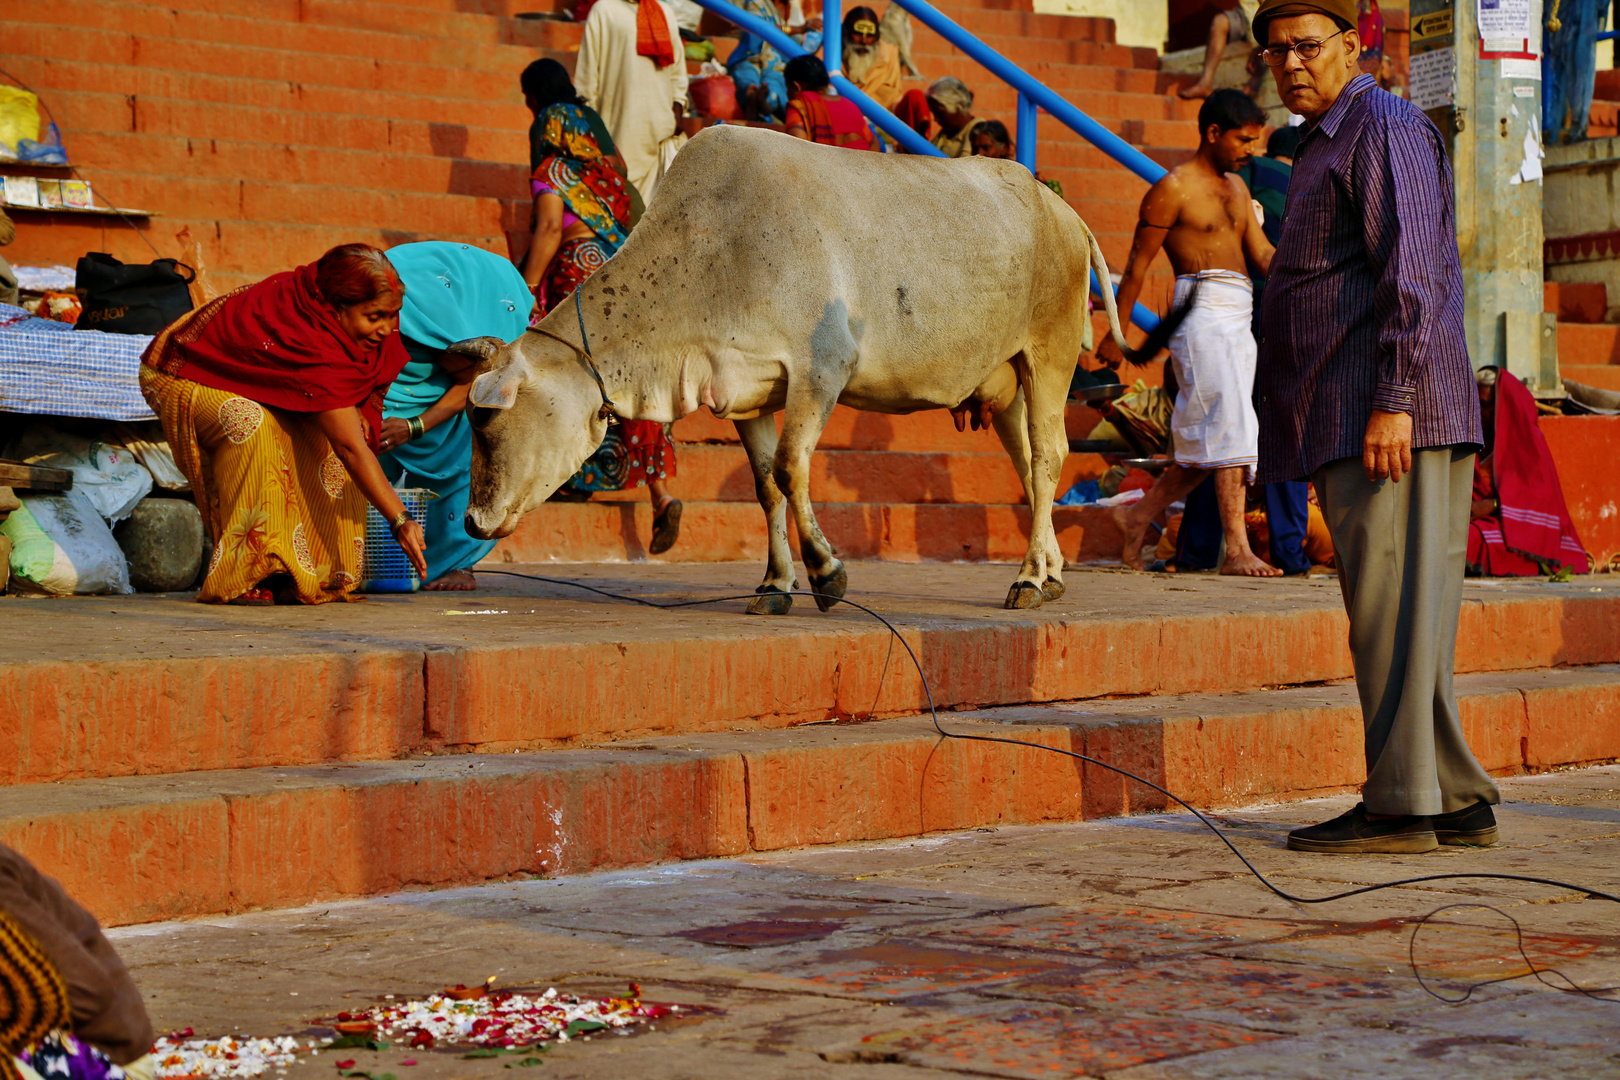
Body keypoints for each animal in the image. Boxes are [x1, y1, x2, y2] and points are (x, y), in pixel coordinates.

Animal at [460, 125, 1166, 612]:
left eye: (490, 422)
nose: (471, 520)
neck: (710, 253)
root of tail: (1064, 212)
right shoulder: (747, 392)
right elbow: (765, 485)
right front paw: (774, 583)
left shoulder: (821, 371)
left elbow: (791, 468)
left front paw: (827, 574)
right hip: (1007, 386)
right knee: (1027, 464)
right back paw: (1050, 571)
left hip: (1049, 359)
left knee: (1048, 458)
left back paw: (1028, 578)